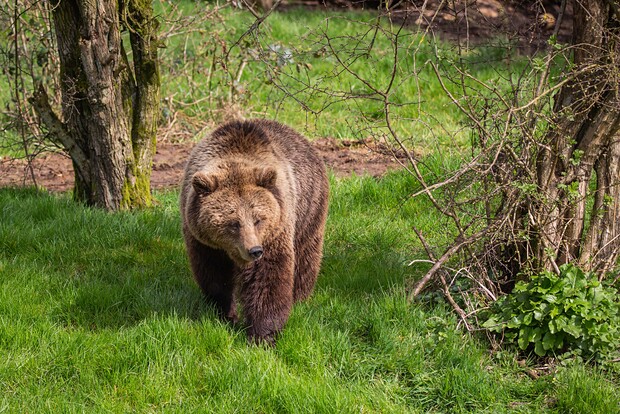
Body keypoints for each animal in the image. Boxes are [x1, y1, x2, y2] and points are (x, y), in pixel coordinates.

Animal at [179, 119, 330, 342]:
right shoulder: (203, 240)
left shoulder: (275, 232)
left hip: (309, 208)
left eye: (259, 219)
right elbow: (213, 275)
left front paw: (263, 334)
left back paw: (300, 298)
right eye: (233, 223)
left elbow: (267, 276)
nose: (254, 250)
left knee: (306, 256)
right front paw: (225, 314)